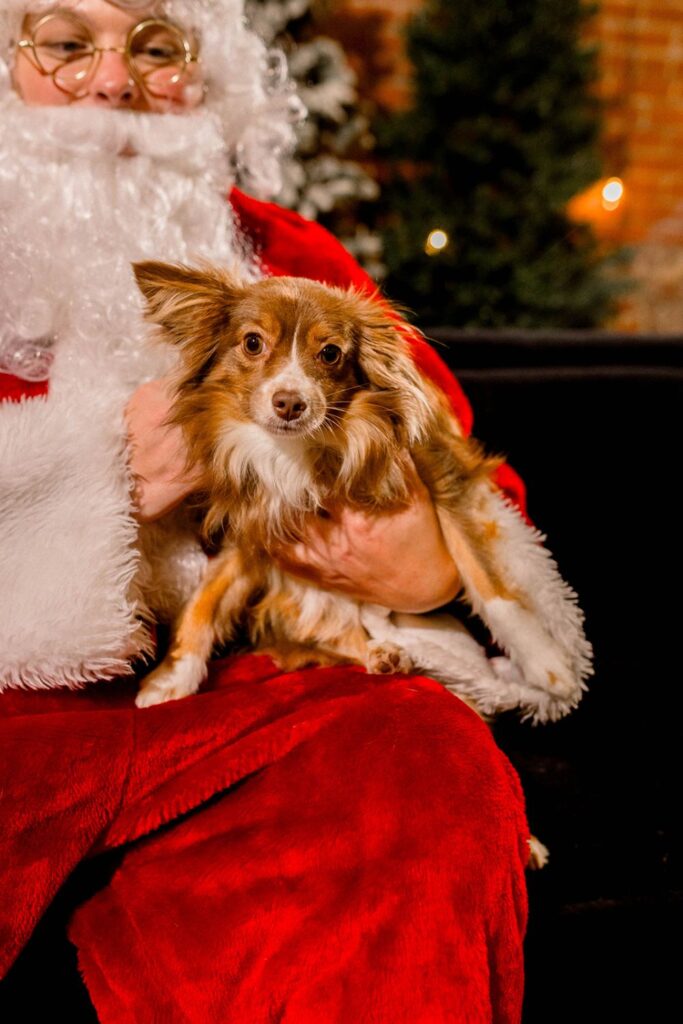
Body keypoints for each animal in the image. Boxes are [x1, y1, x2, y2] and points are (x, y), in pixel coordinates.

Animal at [131, 260, 589, 720]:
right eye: (253, 343)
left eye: (331, 353)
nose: (290, 403)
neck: (301, 450)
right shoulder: (255, 527)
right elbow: (206, 599)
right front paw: (174, 676)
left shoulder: (443, 474)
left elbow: (487, 581)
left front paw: (549, 669)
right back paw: (382, 654)